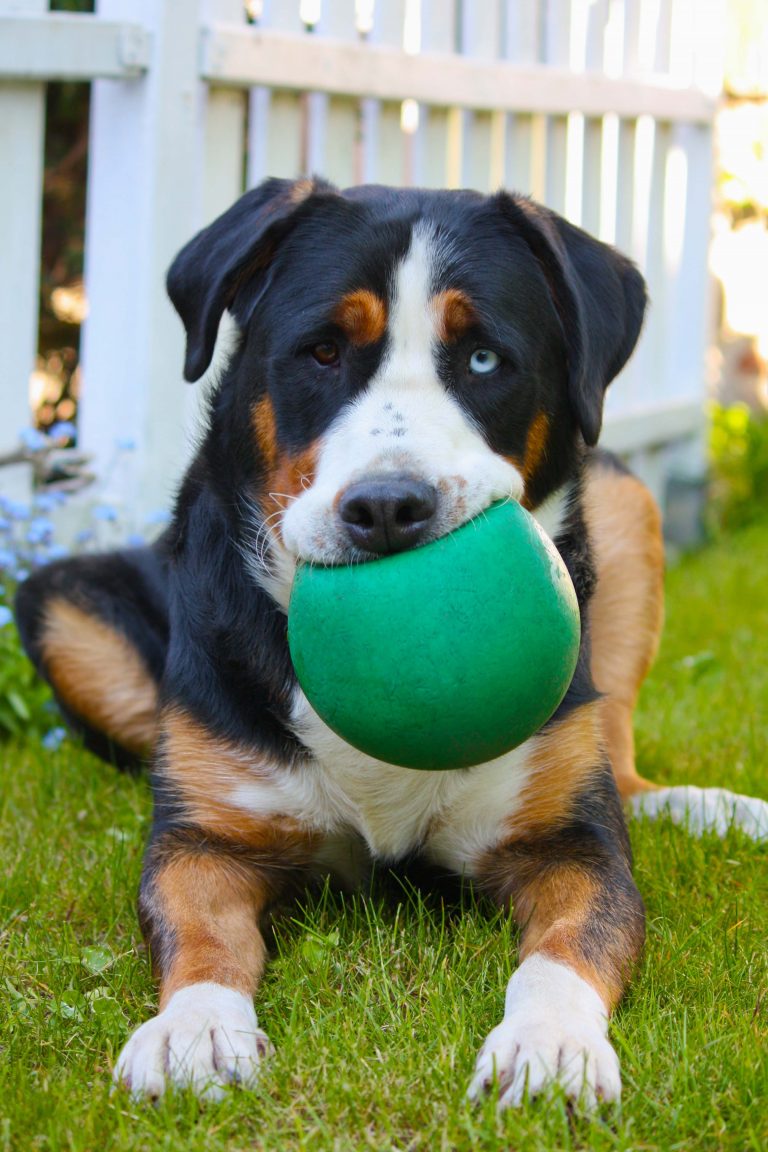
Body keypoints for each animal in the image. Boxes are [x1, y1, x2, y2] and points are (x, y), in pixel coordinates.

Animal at [13, 177, 768, 1105]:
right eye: (323, 352)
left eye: (482, 360)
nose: (385, 507)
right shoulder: (206, 840)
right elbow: (201, 932)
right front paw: (195, 1030)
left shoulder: (574, 846)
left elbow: (570, 945)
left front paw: (549, 1043)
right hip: (59, 603)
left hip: (625, 493)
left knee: (623, 763)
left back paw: (714, 807)